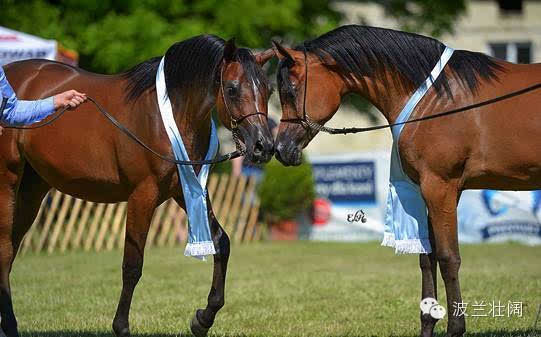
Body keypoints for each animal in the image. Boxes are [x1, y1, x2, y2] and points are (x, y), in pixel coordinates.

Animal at [1, 34, 274, 336]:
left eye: (269, 90)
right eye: (233, 88)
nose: (263, 146)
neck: (167, 112)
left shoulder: (186, 190)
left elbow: (221, 242)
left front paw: (202, 319)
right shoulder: (143, 195)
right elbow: (132, 264)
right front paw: (121, 326)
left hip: (32, 190)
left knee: (10, 252)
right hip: (7, 182)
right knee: (4, 252)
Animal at [272, 25, 540, 336]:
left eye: (291, 90)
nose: (280, 149)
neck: (438, 98)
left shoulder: (440, 187)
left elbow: (448, 258)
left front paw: (455, 327)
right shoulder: (432, 191)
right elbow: (427, 256)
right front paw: (429, 321)